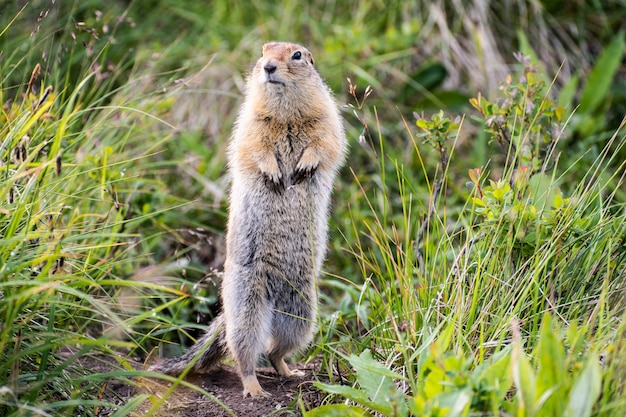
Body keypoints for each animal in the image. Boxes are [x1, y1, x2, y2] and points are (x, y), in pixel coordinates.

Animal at [151, 42, 346, 396]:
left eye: (297, 55)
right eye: (263, 50)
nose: (268, 67)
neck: (285, 113)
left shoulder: (327, 117)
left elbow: (326, 143)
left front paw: (304, 166)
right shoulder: (249, 123)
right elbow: (253, 148)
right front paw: (273, 172)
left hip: (301, 315)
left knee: (274, 350)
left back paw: (290, 371)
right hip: (248, 307)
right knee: (245, 354)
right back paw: (255, 388)